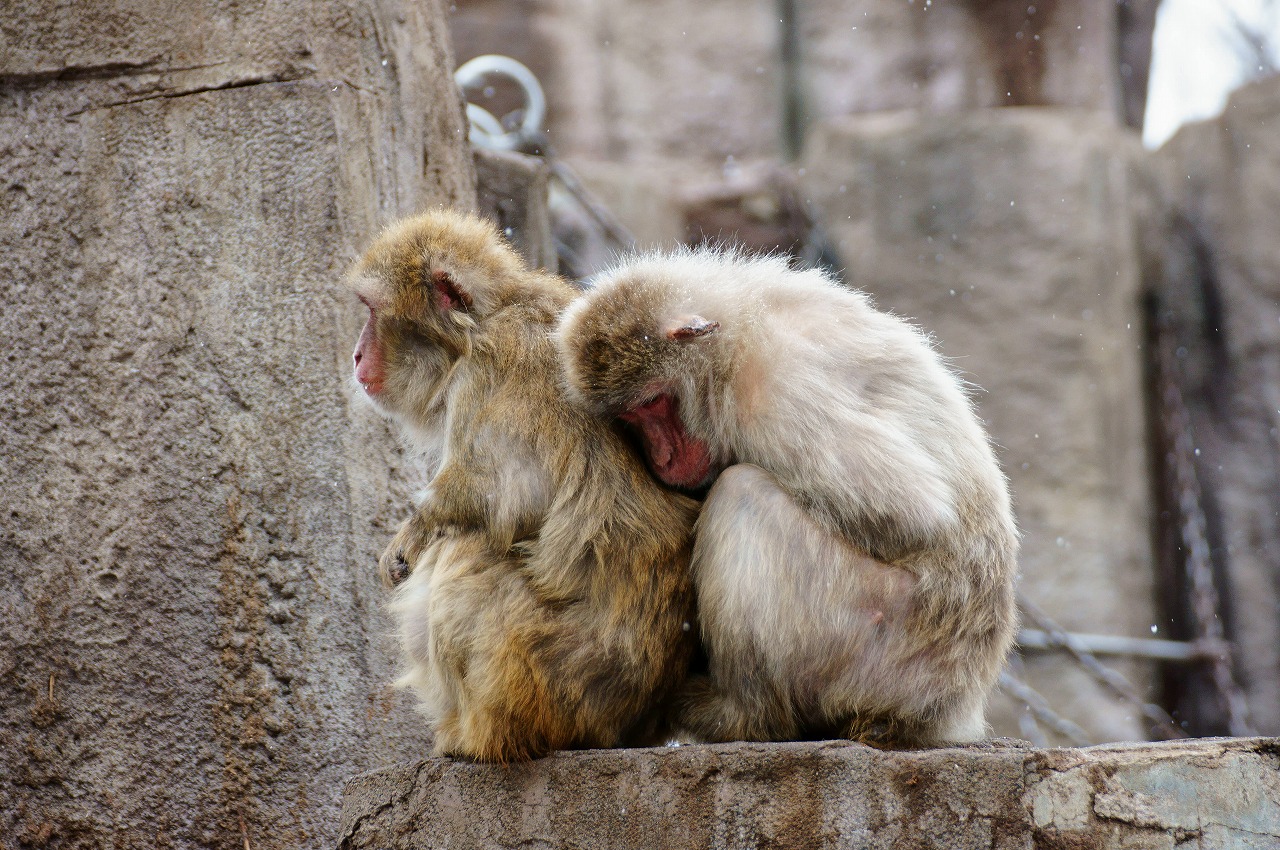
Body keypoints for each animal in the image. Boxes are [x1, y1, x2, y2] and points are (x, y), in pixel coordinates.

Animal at [345, 211, 696, 762]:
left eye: (373, 311)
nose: (357, 355)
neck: (487, 322)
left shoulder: (489, 370)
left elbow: (495, 496)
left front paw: (414, 532)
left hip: (550, 676)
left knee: (463, 549)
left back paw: (475, 738)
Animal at [555, 249, 1013, 747]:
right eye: (629, 417)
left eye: (653, 402)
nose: (663, 457)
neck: (735, 343)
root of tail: (951, 709)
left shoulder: (776, 393)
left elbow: (914, 514)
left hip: (877, 646)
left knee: (741, 495)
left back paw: (745, 716)